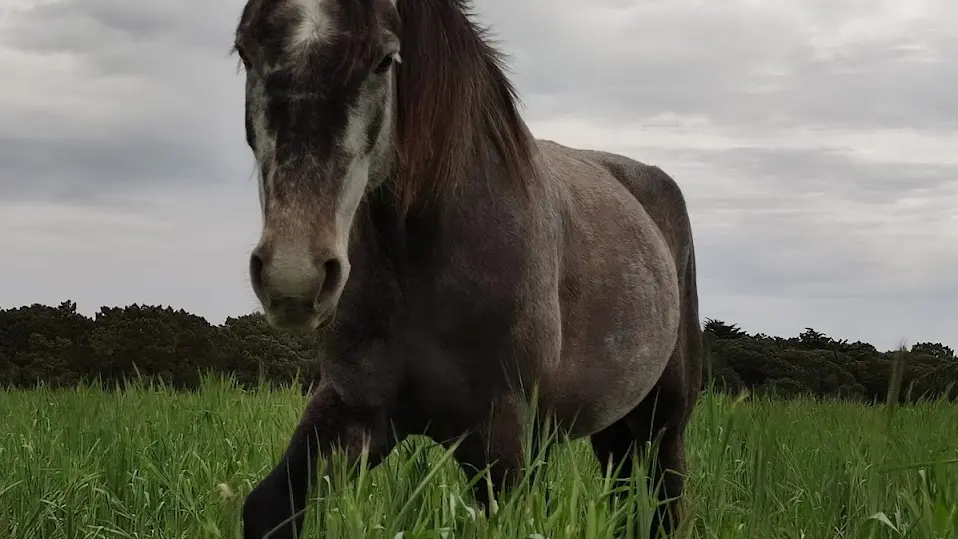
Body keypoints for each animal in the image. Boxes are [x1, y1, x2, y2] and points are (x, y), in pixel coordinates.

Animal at [229, 0, 700, 536]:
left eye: (385, 59)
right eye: (246, 51)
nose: (293, 275)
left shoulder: (502, 437)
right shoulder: (356, 410)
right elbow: (269, 505)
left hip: (664, 423)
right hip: (615, 429)